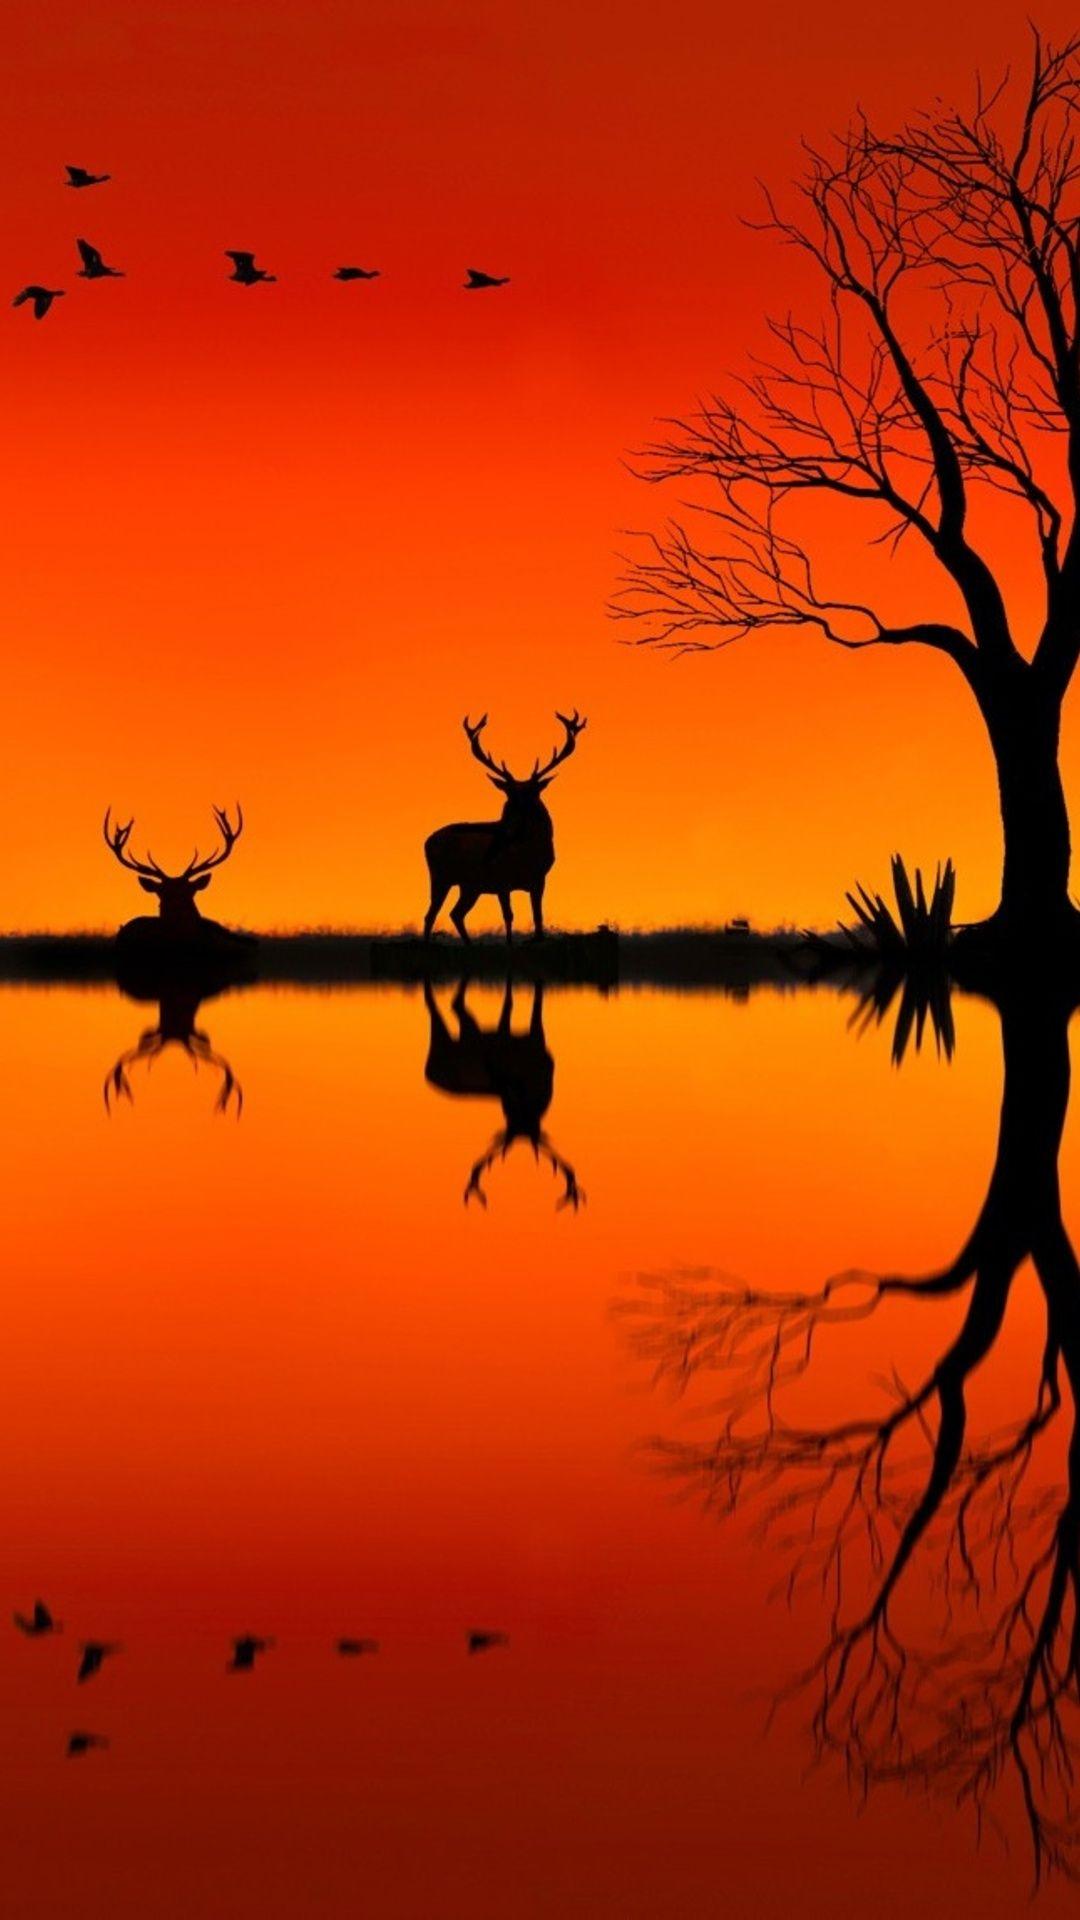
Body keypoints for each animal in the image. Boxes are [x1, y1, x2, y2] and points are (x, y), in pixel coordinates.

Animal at [423, 710, 586, 942]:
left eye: (531, 796)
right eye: (508, 797)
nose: (505, 827)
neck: (526, 855)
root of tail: (427, 841)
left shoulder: (539, 879)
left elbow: (538, 917)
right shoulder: (501, 880)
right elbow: (508, 917)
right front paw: (509, 943)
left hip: (470, 885)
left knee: (455, 913)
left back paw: (469, 945)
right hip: (440, 876)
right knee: (431, 914)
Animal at [423, 976, 583, 1208]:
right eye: (512, 1113)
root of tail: (428, 1071)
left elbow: (514, 997)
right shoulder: (525, 1039)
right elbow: (523, 1004)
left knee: (455, 1010)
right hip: (454, 1040)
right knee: (441, 1012)